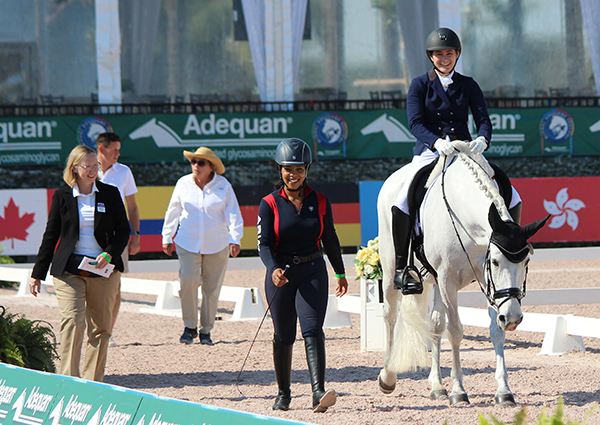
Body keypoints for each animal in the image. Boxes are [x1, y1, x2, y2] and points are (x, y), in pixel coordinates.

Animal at [378, 142, 552, 404]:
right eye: (496, 262)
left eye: (526, 262)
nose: (512, 318)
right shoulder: (448, 279)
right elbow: (456, 331)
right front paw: (459, 391)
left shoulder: (486, 283)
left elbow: (495, 331)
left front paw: (504, 391)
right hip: (392, 270)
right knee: (390, 315)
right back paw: (388, 376)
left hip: (436, 282)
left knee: (435, 324)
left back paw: (437, 386)